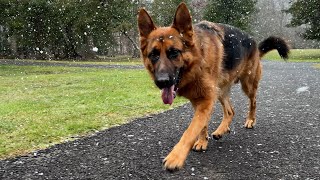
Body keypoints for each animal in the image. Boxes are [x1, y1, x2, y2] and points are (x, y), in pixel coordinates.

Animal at [138, 2, 290, 170]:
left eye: (174, 52)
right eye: (154, 54)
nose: (162, 81)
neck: (198, 59)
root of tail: (254, 43)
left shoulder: (206, 100)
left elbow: (191, 129)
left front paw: (176, 156)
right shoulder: (200, 100)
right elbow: (202, 125)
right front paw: (202, 141)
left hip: (247, 85)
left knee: (253, 101)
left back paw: (250, 120)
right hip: (220, 91)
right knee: (230, 111)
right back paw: (221, 130)